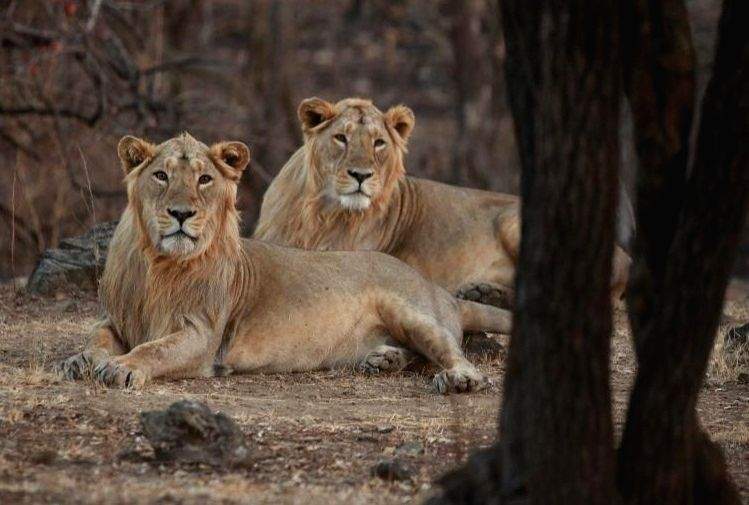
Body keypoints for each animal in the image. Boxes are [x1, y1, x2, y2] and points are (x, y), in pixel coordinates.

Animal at [57, 133, 512, 393]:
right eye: (161, 176)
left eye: (205, 179)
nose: (182, 214)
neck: (159, 264)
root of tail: (440, 290)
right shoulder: (114, 320)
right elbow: (96, 339)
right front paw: (80, 361)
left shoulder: (203, 334)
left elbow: (154, 349)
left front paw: (122, 367)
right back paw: (384, 359)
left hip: (410, 310)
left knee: (450, 348)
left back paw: (461, 379)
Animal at [253, 97, 631, 306]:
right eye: (341, 138)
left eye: (378, 143)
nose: (361, 175)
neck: (319, 213)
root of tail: (624, 255)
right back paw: (482, 293)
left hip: (515, 222)